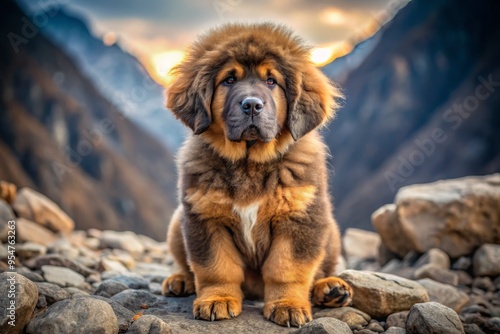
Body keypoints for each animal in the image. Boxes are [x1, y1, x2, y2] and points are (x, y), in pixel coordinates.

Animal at [162, 24, 354, 328]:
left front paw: (287, 304)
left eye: (272, 81)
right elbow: (215, 266)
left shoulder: (300, 217)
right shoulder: (205, 216)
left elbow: (286, 268)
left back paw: (331, 289)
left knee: (323, 268)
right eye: (229, 80)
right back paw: (180, 280)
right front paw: (217, 299)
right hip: (176, 223)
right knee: (186, 263)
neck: (249, 163)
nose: (252, 105)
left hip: (330, 230)